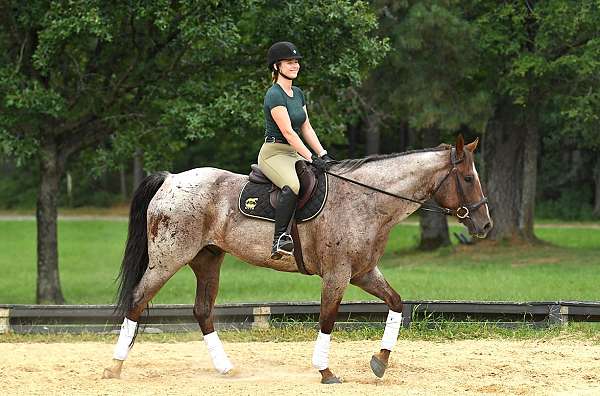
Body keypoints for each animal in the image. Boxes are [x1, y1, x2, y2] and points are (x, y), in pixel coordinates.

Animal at [101, 135, 490, 384]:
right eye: (468, 177)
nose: (485, 225)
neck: (366, 200)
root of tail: (170, 180)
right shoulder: (338, 274)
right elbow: (328, 319)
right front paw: (325, 371)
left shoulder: (364, 272)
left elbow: (396, 303)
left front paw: (379, 362)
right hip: (168, 259)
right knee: (137, 301)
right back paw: (115, 367)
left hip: (207, 260)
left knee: (202, 311)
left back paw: (226, 368)